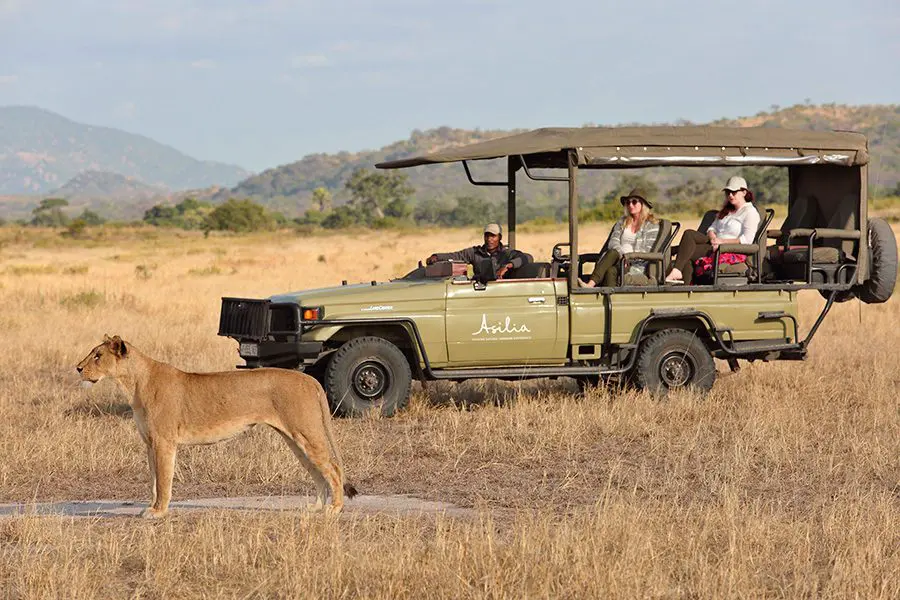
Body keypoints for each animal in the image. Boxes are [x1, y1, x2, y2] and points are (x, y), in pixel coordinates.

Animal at [76, 335, 357, 518]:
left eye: (98, 356)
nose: (77, 368)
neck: (133, 383)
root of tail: (310, 379)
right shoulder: (149, 444)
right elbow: (154, 480)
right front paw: (152, 507)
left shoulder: (164, 442)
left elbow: (164, 480)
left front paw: (158, 512)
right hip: (294, 438)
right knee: (316, 471)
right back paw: (316, 507)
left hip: (306, 433)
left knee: (332, 468)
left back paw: (334, 509)